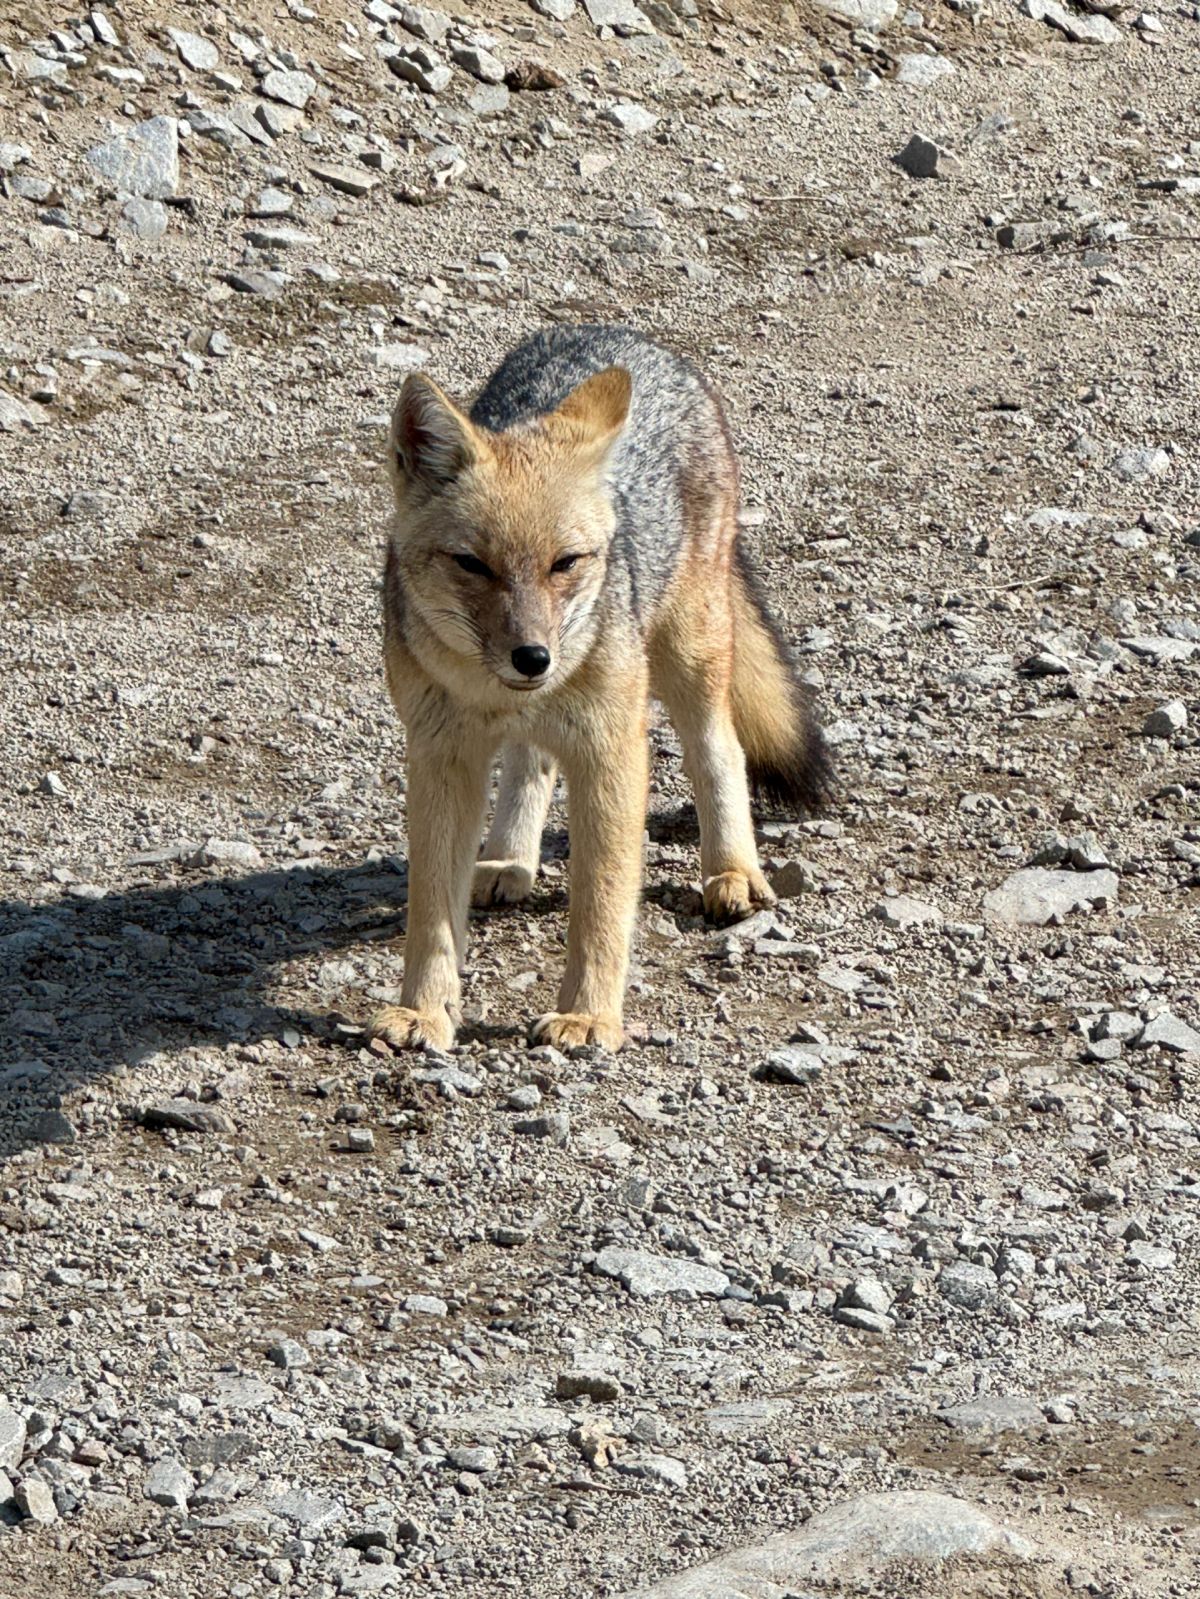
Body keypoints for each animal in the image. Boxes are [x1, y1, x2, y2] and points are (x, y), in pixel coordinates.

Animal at [370, 324, 829, 1055]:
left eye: (564, 563)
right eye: (473, 564)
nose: (533, 657)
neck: (506, 692)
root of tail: (617, 332)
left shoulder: (610, 749)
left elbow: (602, 901)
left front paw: (588, 1017)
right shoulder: (440, 754)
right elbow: (431, 911)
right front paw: (424, 1010)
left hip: (688, 656)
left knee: (720, 748)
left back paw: (731, 870)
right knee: (532, 759)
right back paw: (508, 860)